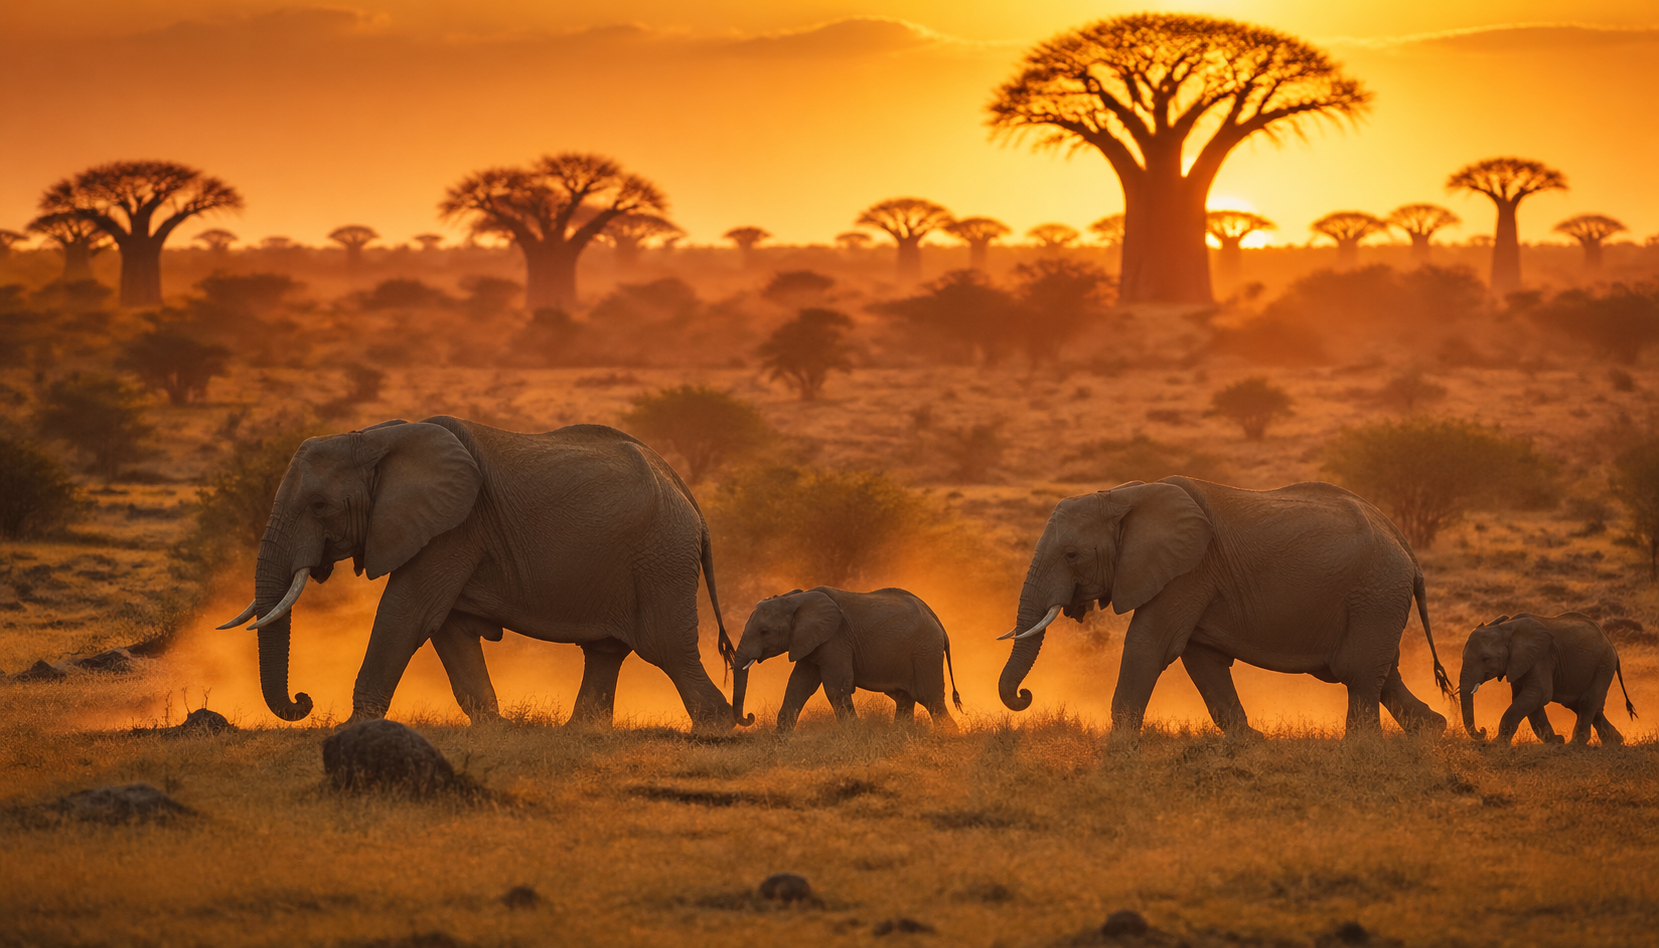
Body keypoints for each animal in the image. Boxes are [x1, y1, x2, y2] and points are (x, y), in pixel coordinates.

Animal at [216, 417, 737, 728]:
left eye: (319, 506)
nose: (302, 702)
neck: (374, 438)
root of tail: (690, 498)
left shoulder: (452, 528)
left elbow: (406, 615)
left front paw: (354, 728)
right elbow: (449, 628)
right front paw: (493, 726)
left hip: (661, 557)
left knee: (667, 648)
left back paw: (718, 727)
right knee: (607, 651)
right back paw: (580, 731)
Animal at [730, 587, 963, 732]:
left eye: (764, 632)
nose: (750, 716)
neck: (795, 599)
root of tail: (937, 621)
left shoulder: (836, 639)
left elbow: (836, 686)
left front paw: (855, 734)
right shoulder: (810, 641)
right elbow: (798, 685)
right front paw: (780, 738)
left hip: (925, 652)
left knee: (929, 698)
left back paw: (948, 736)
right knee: (905, 699)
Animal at [998, 477, 1454, 740]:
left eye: (1072, 555)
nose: (1025, 695)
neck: (1120, 495)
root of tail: (1406, 548)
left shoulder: (1188, 571)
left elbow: (1151, 645)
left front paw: (1120, 747)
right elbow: (1201, 658)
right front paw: (1250, 743)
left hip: (1374, 593)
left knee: (1358, 673)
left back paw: (1361, 750)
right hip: (1377, 599)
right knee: (1382, 672)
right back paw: (1431, 731)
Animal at [1459, 612, 1636, 746]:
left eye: (1485, 659)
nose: (1482, 731)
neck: (1506, 628)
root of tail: (1610, 642)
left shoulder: (1541, 658)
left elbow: (1538, 694)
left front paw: (1496, 744)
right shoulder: (1519, 663)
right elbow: (1526, 698)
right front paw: (1556, 741)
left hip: (1604, 664)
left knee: (1586, 702)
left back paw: (1575, 744)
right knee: (1582, 705)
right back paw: (1615, 741)